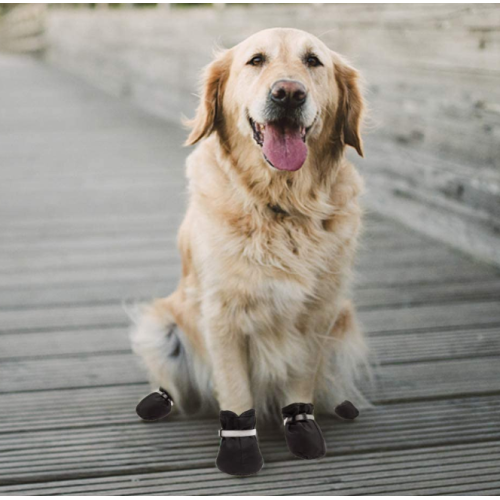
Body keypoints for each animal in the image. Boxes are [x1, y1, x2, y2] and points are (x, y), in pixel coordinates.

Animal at [131, 27, 370, 424]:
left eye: (313, 60)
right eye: (256, 60)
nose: (288, 93)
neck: (280, 205)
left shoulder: (319, 314)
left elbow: (301, 383)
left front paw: (303, 427)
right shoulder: (221, 316)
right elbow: (236, 392)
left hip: (344, 322)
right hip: (162, 326)